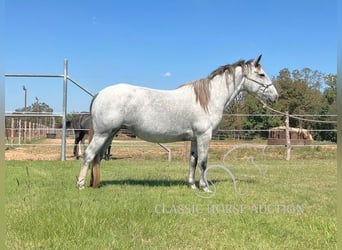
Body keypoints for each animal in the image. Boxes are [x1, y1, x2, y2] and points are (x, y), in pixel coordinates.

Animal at [77, 55, 278, 190]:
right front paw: (205, 187)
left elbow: (193, 161)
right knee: (88, 155)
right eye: (261, 74)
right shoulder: (204, 136)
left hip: (110, 134)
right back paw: (80, 185)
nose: (275, 96)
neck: (208, 99)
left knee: (97, 157)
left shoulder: (195, 138)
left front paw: (192, 185)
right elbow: (203, 162)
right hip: (103, 133)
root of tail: (100, 93)